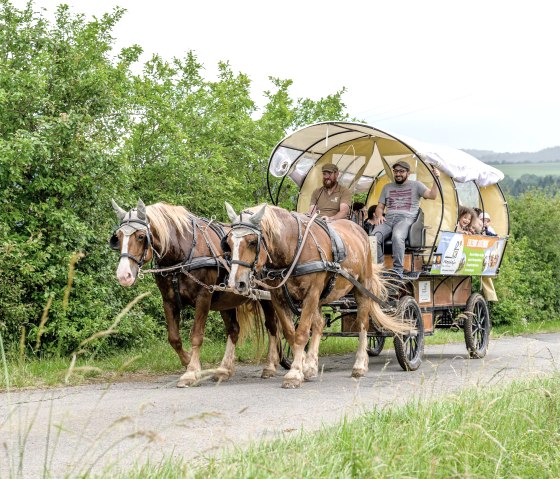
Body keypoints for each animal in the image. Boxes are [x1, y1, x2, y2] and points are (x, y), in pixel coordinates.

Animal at [110, 201, 280, 388]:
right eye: (118, 237)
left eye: (140, 236)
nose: (123, 275)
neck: (182, 253)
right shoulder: (168, 301)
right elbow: (174, 338)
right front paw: (189, 361)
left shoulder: (203, 297)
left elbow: (197, 335)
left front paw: (191, 372)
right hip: (226, 300)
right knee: (234, 330)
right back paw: (224, 370)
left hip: (269, 296)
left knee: (272, 326)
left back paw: (271, 365)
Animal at [223, 202, 412, 390]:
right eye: (229, 242)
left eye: (252, 242)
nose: (236, 282)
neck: (294, 248)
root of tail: (360, 230)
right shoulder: (278, 298)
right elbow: (291, 333)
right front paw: (302, 366)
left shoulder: (311, 294)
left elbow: (301, 333)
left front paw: (294, 374)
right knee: (320, 324)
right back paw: (311, 366)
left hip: (362, 288)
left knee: (363, 324)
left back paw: (359, 365)